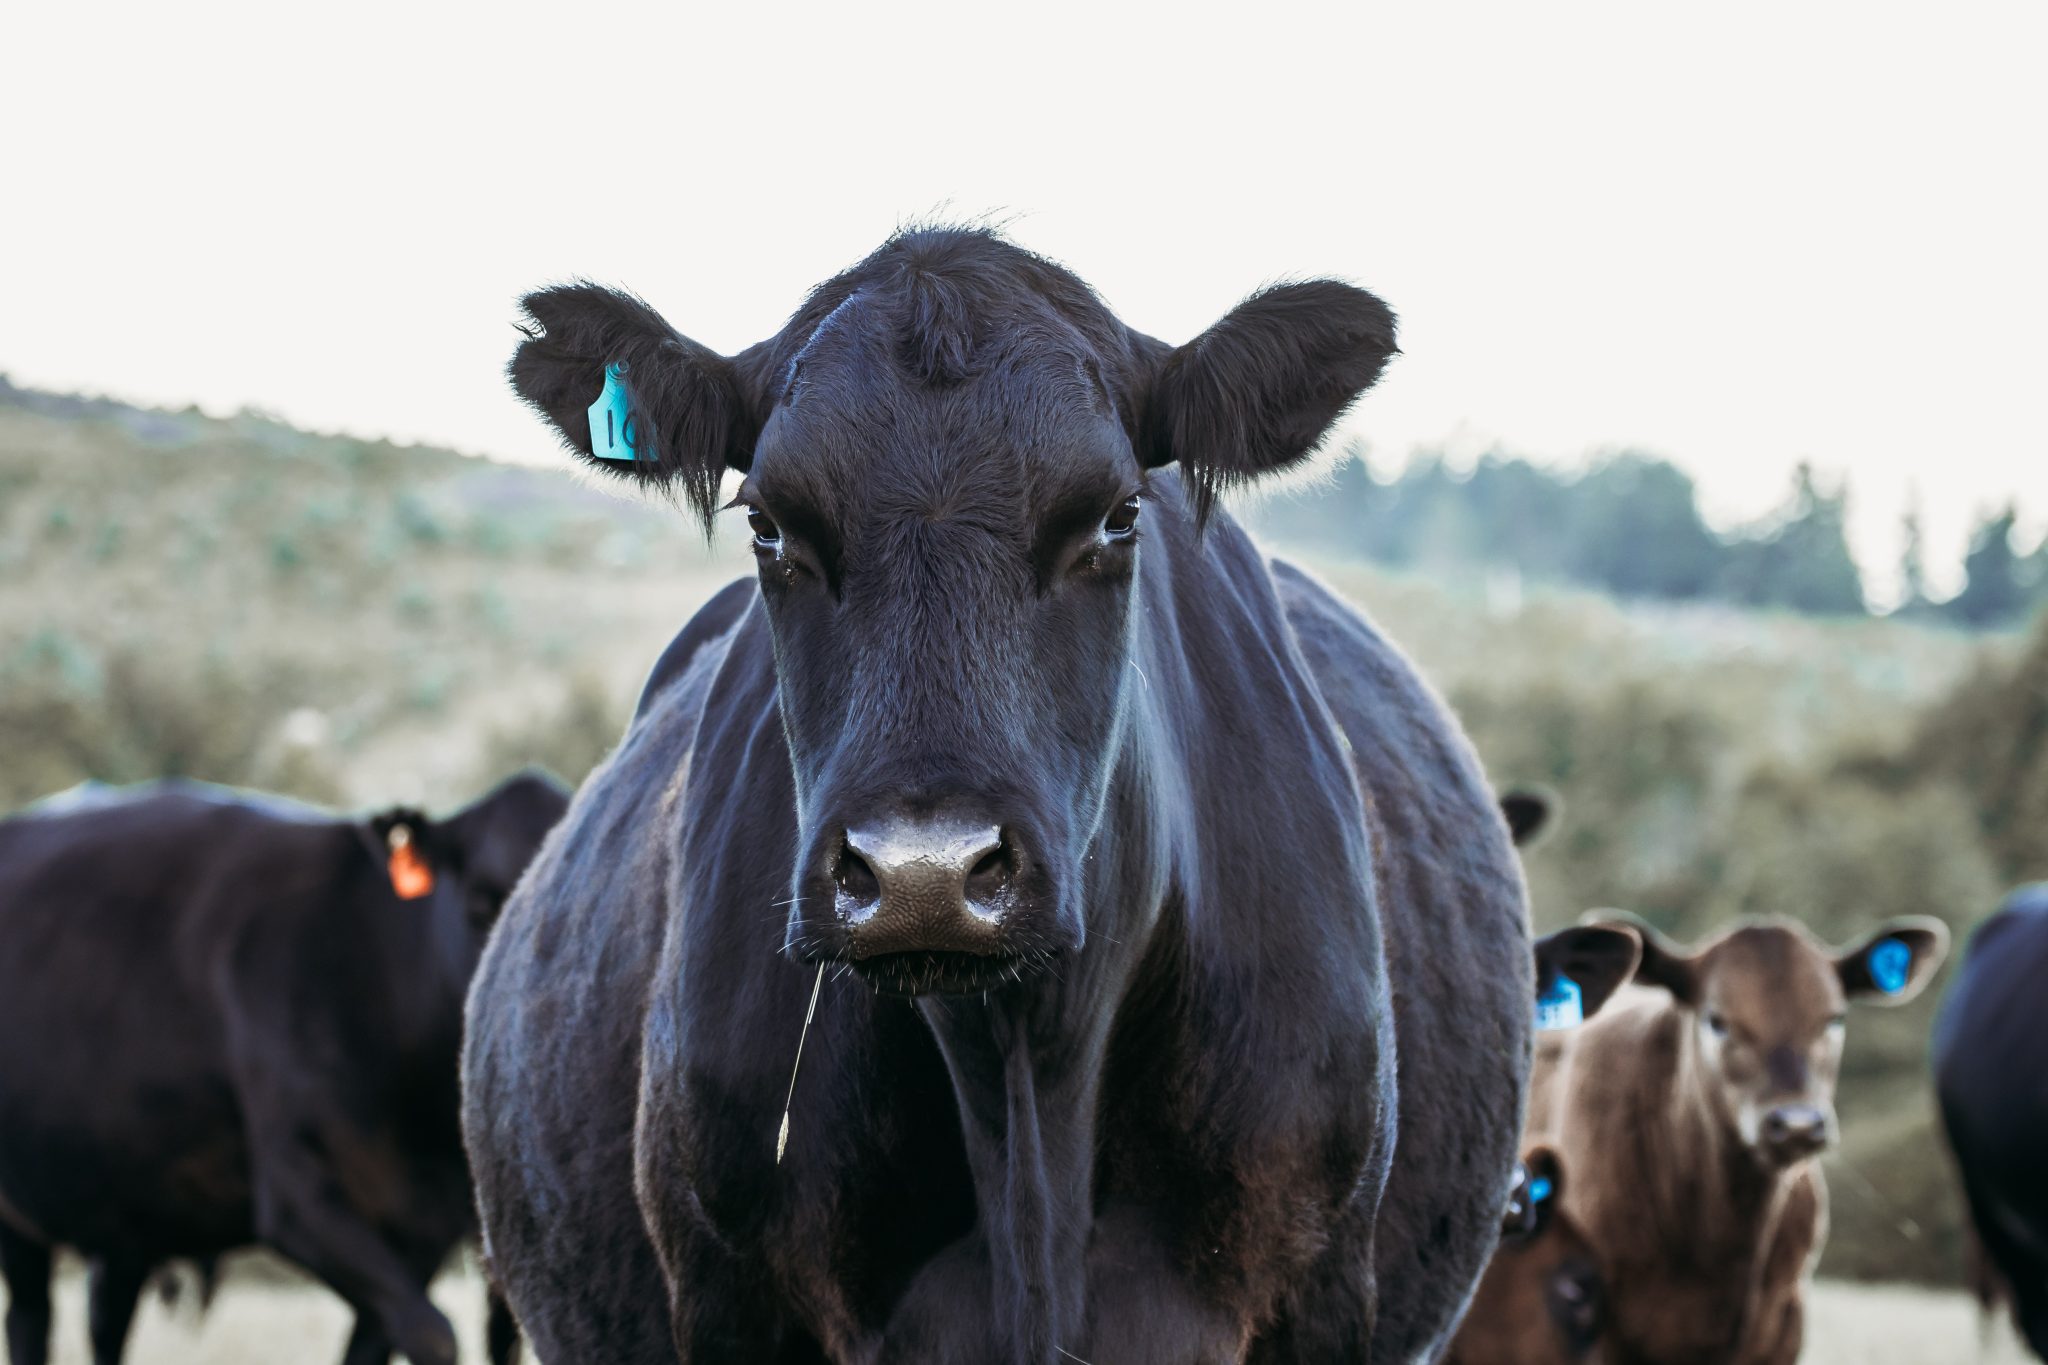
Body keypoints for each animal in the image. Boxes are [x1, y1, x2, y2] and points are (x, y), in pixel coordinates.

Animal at [0, 772, 568, 1365]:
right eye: (482, 895)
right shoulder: (297, 1197)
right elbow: (434, 1334)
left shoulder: (428, 1228)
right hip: (19, 1216)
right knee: (29, 1317)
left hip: (126, 1207)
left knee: (106, 1317)